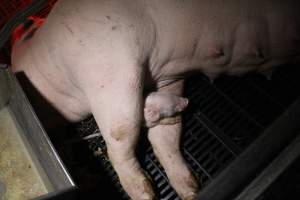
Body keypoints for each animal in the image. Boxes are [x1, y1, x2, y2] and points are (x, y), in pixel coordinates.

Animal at [10, 0, 298, 200]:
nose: (187, 103)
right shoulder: (165, 79)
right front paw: (186, 191)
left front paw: (152, 194)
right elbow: (159, 136)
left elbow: (121, 134)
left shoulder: (111, 70)